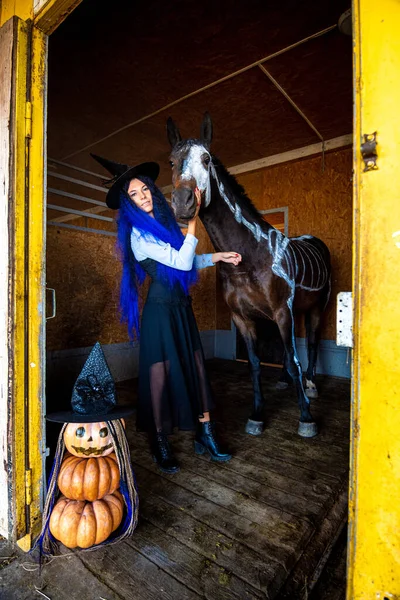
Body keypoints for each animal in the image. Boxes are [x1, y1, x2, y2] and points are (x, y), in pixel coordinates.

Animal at [166, 112, 332, 438]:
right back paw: (285, 381)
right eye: (171, 161)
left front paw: (306, 417)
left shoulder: (282, 311)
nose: (182, 203)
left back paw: (311, 385)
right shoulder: (243, 317)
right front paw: (257, 415)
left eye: (206, 158)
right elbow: (255, 363)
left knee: (313, 341)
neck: (250, 254)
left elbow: (295, 357)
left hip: (318, 307)